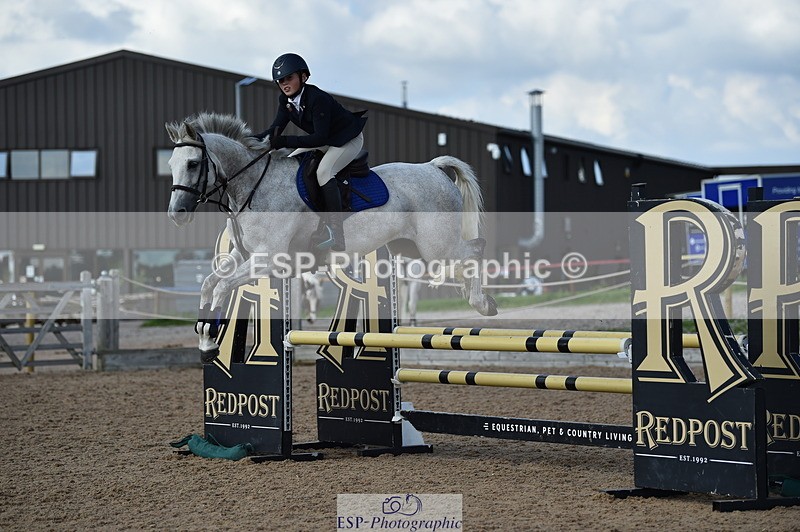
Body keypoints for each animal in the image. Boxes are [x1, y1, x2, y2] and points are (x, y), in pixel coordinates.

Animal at [165, 112, 497, 360]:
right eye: (170, 165)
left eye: (193, 163)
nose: (176, 214)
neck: (253, 185)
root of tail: (432, 168)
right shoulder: (243, 255)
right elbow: (209, 284)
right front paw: (205, 341)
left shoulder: (268, 260)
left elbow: (222, 287)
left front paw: (209, 340)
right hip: (413, 248)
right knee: (466, 255)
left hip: (435, 246)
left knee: (475, 249)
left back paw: (482, 303)